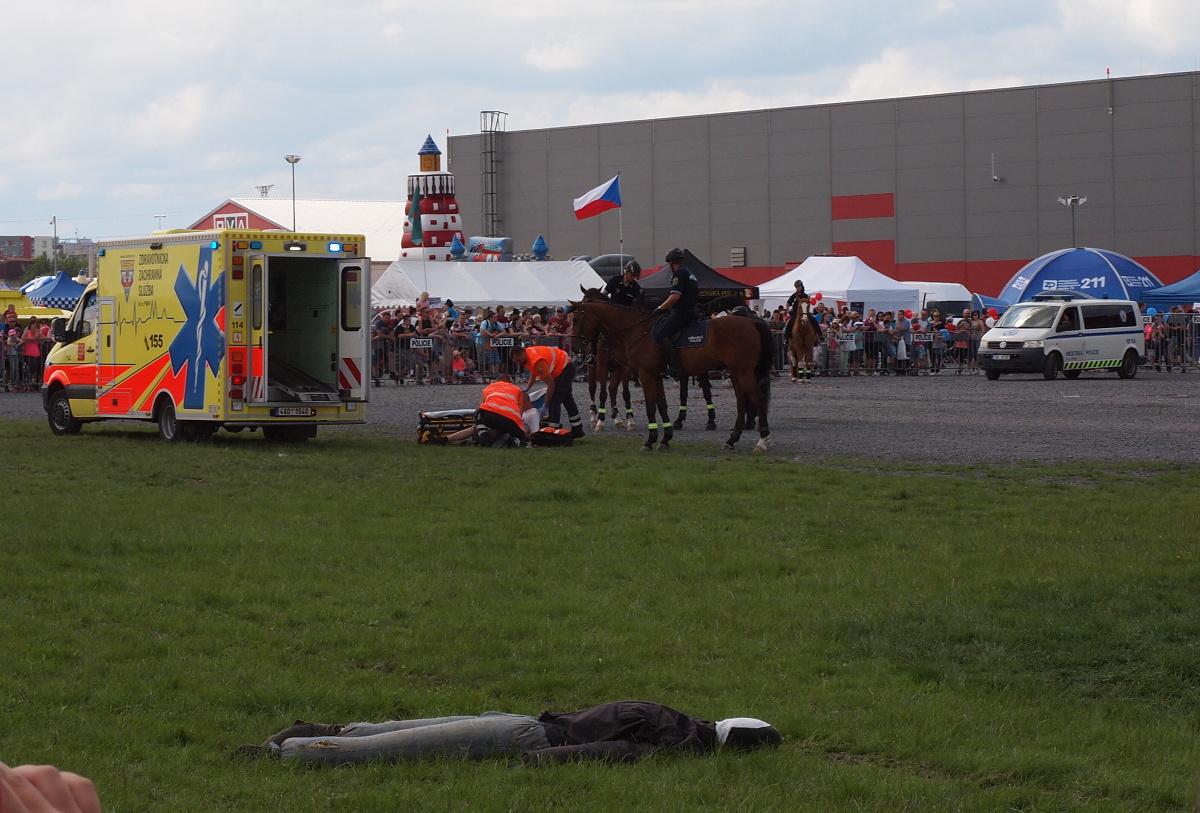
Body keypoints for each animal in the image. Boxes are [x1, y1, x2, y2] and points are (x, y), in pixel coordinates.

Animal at [570, 300, 773, 452]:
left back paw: (762, 441)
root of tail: (752, 321)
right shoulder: (656, 375)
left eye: (576, 319)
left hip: (743, 373)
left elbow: (651, 407)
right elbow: (662, 405)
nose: (574, 348)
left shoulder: (645, 374)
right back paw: (732, 439)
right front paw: (665, 439)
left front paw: (650, 440)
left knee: (757, 399)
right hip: (736, 374)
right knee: (742, 402)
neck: (636, 330)